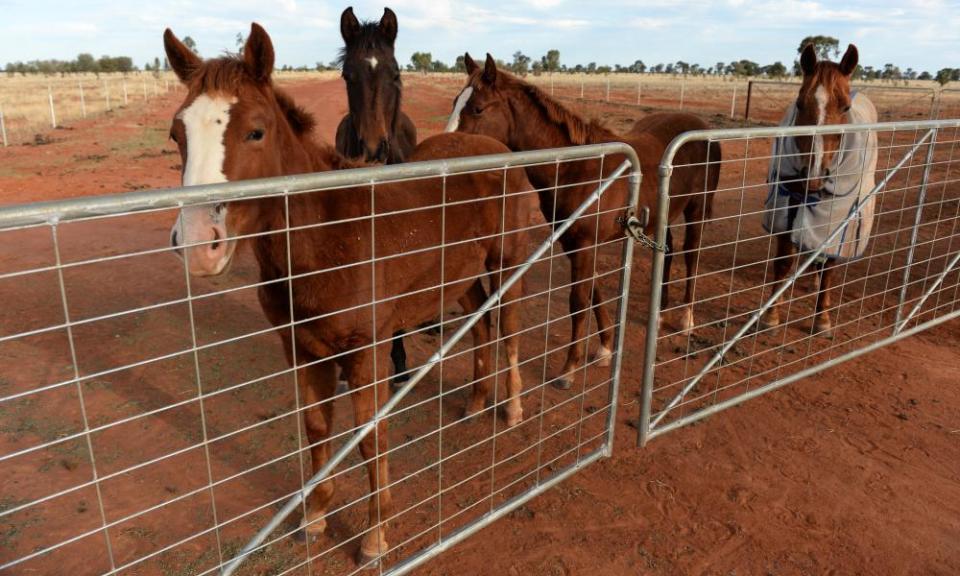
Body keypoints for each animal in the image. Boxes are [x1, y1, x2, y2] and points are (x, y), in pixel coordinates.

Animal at [161, 24, 528, 564]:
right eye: (177, 133)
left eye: (256, 131)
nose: (198, 244)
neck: (329, 236)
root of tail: (493, 145)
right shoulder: (302, 349)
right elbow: (316, 429)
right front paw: (314, 518)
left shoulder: (367, 351)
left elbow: (370, 436)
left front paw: (375, 536)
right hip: (459, 276)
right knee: (481, 323)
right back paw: (477, 402)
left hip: (508, 263)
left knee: (509, 328)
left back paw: (513, 409)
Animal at [450, 54, 720, 390]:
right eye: (455, 103)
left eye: (477, 108)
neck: (576, 168)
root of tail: (703, 128)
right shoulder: (574, 243)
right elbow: (593, 291)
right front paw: (605, 348)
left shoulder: (585, 244)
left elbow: (578, 301)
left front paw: (569, 369)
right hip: (665, 215)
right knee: (668, 253)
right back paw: (660, 312)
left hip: (697, 209)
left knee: (691, 255)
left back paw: (686, 318)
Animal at [756, 45, 876, 336]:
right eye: (800, 104)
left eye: (845, 107)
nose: (813, 176)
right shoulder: (788, 205)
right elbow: (783, 262)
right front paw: (772, 316)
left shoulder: (839, 218)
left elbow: (830, 269)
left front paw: (822, 319)